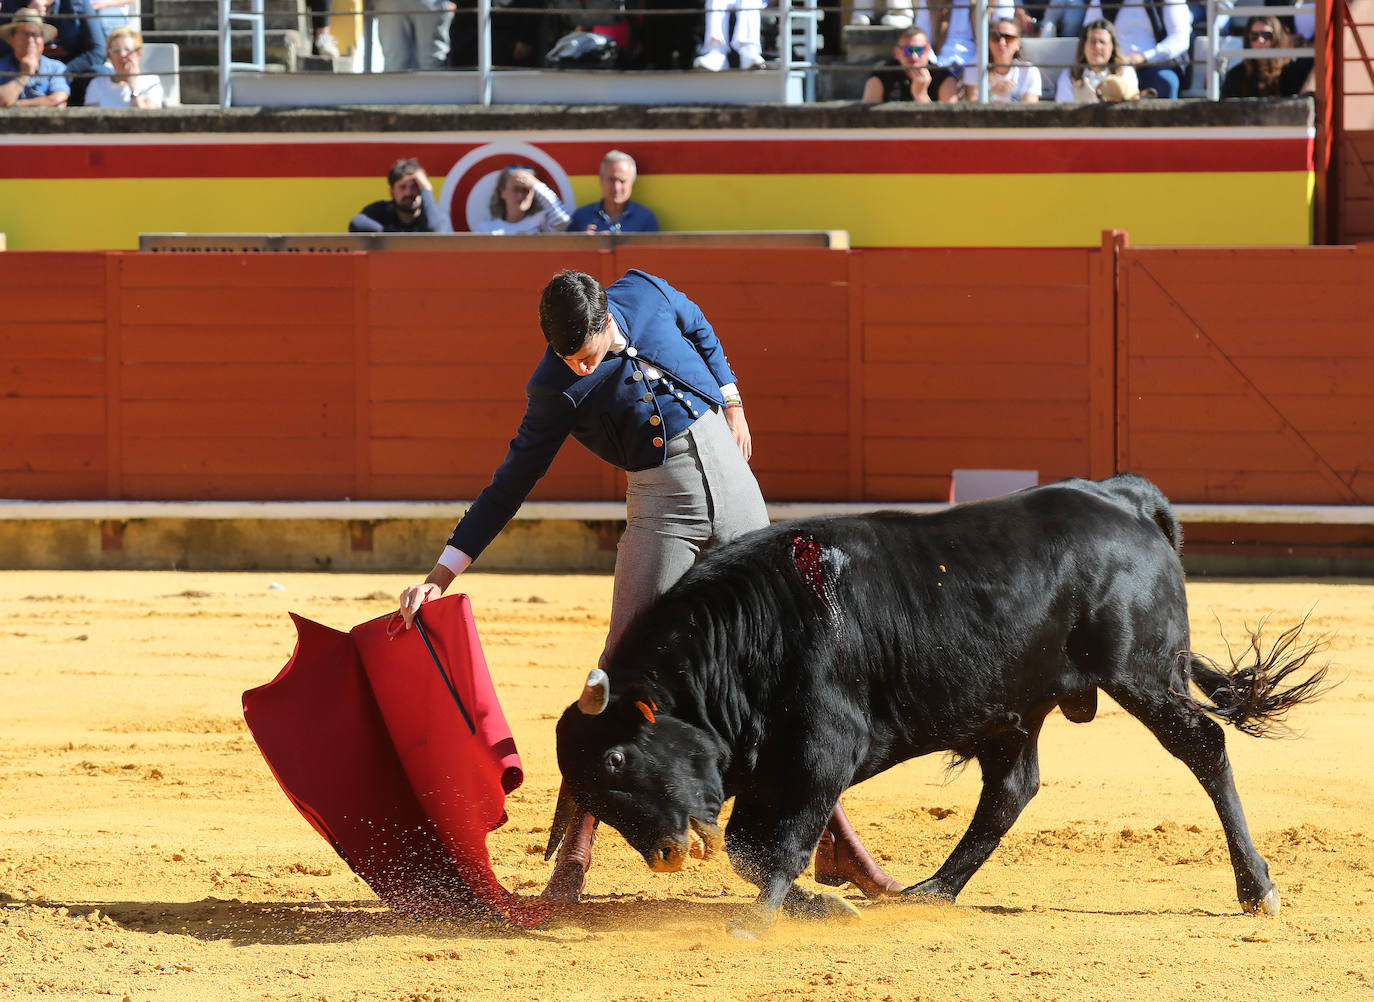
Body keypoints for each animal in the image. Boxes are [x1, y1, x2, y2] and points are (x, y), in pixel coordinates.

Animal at [546, 472, 1330, 923]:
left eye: (614, 761)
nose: (667, 854)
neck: (748, 637)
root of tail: (1125, 499)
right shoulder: (772, 768)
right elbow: (748, 848)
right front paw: (819, 905)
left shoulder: (822, 751)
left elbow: (781, 845)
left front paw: (760, 921)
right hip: (1017, 705)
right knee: (1011, 789)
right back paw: (932, 891)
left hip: (1141, 674)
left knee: (1205, 748)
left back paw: (1257, 890)